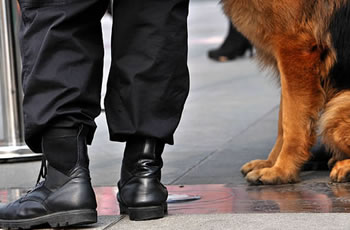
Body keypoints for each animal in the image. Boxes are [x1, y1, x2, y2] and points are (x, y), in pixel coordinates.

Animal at [223, 0, 350, 185]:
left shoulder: (294, 50)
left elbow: (293, 123)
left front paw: (282, 170)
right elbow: (282, 122)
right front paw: (270, 163)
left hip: (336, 110)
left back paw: (344, 167)